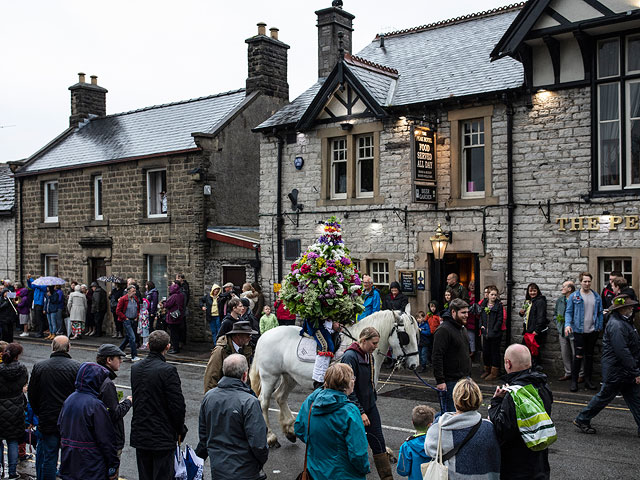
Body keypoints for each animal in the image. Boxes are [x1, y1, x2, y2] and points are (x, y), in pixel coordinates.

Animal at [249, 310, 420, 448]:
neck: (358, 346)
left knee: (280, 396)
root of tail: (264, 335)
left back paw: (290, 431)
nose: (414, 364)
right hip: (269, 376)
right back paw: (271, 437)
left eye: (416, 334)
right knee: (264, 401)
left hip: (290, 376)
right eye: (405, 336)